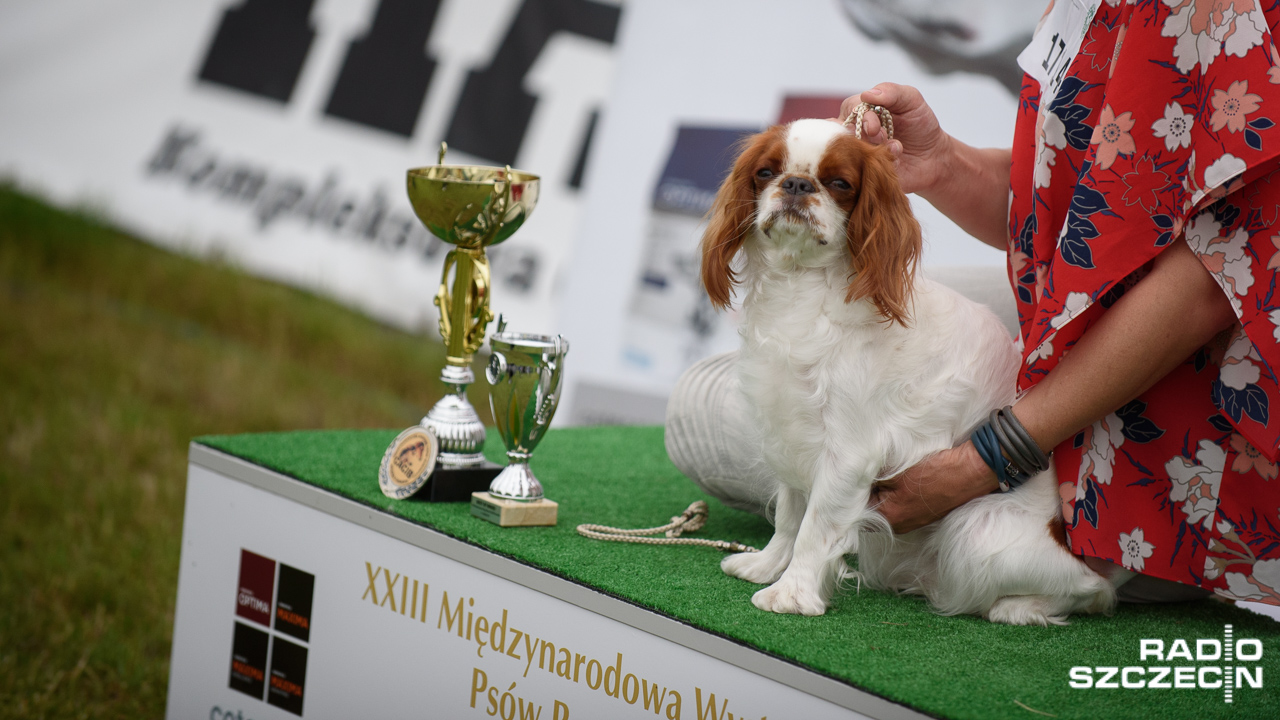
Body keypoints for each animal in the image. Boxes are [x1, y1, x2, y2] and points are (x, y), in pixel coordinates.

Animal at [701, 117, 1111, 622]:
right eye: (765, 172)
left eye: (840, 184)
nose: (796, 184)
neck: (801, 284)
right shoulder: (790, 429)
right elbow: (790, 514)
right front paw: (768, 565)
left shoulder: (848, 451)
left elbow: (815, 526)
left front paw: (792, 594)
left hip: (976, 535)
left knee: (1091, 590)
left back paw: (1019, 607)